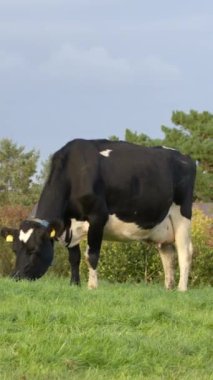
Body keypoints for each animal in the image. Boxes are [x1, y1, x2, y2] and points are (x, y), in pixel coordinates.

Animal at [0, 140, 196, 290]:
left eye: (34, 250)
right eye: (14, 249)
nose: (16, 277)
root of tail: (186, 158)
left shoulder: (97, 218)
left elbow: (91, 255)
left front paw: (92, 286)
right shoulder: (70, 226)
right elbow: (74, 258)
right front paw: (74, 284)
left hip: (182, 216)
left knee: (185, 252)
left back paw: (181, 289)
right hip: (163, 227)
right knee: (168, 254)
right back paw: (168, 288)